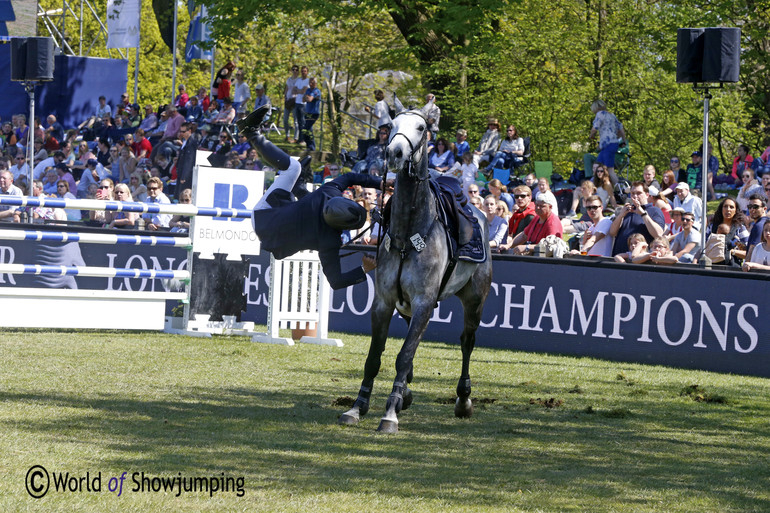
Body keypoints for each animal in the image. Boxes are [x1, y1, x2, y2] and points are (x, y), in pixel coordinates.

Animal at [336, 109, 492, 432]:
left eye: (421, 127)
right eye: (392, 125)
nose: (395, 152)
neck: (409, 234)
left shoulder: (424, 303)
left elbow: (404, 356)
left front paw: (389, 414)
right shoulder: (384, 303)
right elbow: (375, 358)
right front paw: (358, 407)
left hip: (475, 299)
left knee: (467, 342)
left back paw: (463, 399)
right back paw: (406, 393)